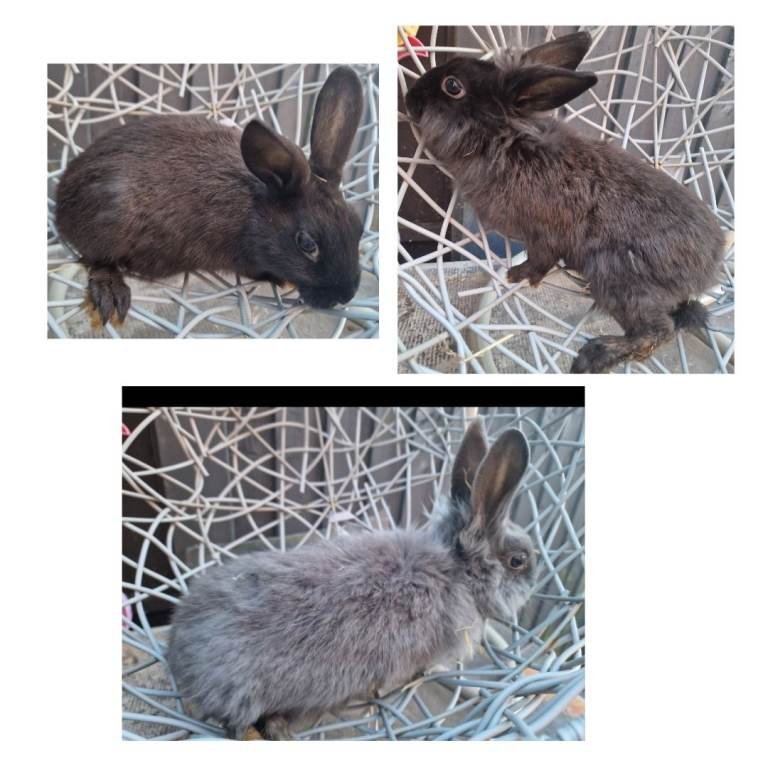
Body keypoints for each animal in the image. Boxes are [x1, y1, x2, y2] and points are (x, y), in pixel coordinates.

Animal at [54, 66, 365, 326]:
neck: (254, 210)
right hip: (111, 220)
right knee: (97, 260)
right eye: (307, 244)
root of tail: (60, 200)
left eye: (359, 227)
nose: (346, 294)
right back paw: (111, 290)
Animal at [404, 32, 726, 373]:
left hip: (620, 277)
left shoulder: (544, 235)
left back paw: (596, 355)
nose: (409, 98)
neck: (505, 140)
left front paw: (517, 276)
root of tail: (708, 266)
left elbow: (540, 260)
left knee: (657, 330)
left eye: (452, 86)